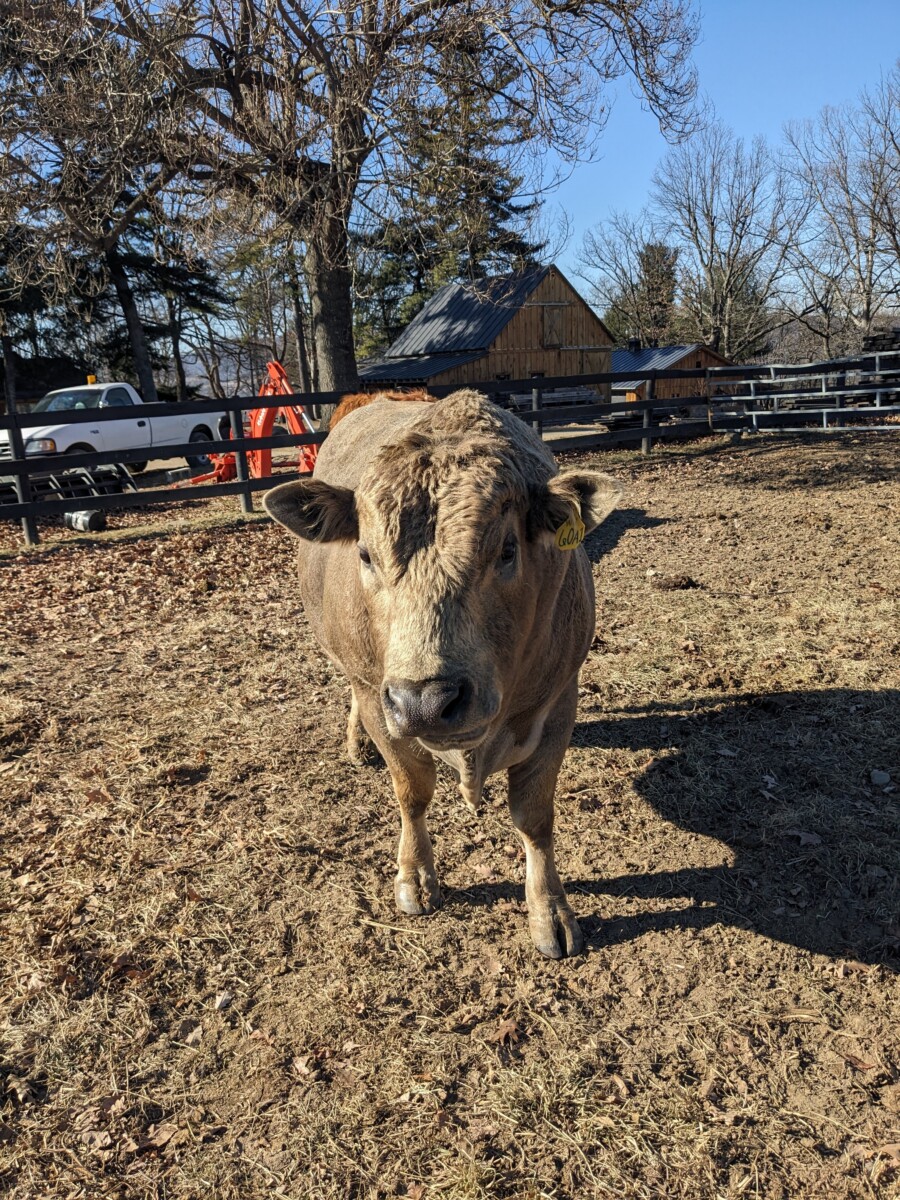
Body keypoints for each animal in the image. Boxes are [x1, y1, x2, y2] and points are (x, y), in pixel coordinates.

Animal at [264, 389, 621, 958]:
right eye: (365, 554)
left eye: (507, 549)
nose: (425, 701)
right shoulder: (377, 696)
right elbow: (412, 792)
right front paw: (415, 876)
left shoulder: (560, 699)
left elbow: (534, 816)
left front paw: (550, 911)